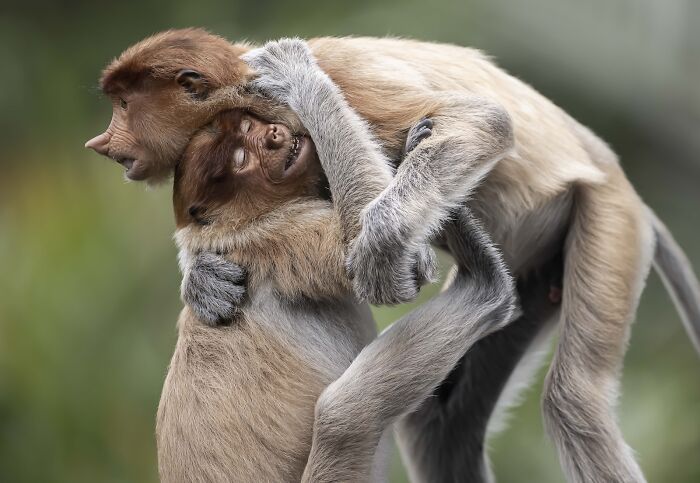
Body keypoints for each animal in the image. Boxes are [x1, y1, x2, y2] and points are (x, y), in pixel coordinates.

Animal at [85, 30, 700, 482]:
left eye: (125, 103)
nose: (105, 144)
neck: (236, 92)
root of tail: (604, 161)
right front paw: (205, 280)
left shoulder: (339, 84)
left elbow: (481, 122)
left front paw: (380, 248)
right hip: (543, 262)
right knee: (441, 426)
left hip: (608, 217)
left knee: (576, 404)